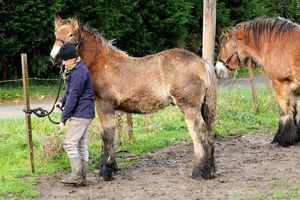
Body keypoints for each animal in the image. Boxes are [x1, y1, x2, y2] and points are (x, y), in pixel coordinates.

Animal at [50, 16, 217, 180]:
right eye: (56, 34)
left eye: (71, 34)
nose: (54, 57)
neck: (101, 62)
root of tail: (202, 62)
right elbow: (109, 135)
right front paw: (111, 166)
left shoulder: (104, 105)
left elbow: (106, 134)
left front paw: (106, 170)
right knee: (208, 135)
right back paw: (209, 171)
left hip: (189, 108)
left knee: (199, 134)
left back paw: (197, 172)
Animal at [216, 16, 300, 147]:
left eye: (223, 45)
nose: (217, 70)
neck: (280, 44)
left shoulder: (280, 84)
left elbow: (284, 111)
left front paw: (282, 138)